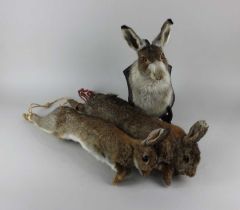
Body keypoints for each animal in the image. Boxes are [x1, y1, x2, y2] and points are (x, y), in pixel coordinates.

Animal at [22, 101, 169, 185]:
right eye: (145, 158)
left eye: (155, 162)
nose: (146, 174)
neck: (132, 148)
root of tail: (59, 109)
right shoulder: (112, 155)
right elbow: (121, 170)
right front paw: (115, 181)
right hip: (51, 126)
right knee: (39, 121)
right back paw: (27, 116)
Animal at [69, 89, 208, 185]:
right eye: (186, 158)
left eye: (199, 158)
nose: (192, 174)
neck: (175, 145)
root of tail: (92, 98)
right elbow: (166, 170)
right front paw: (168, 181)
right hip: (87, 111)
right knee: (79, 107)